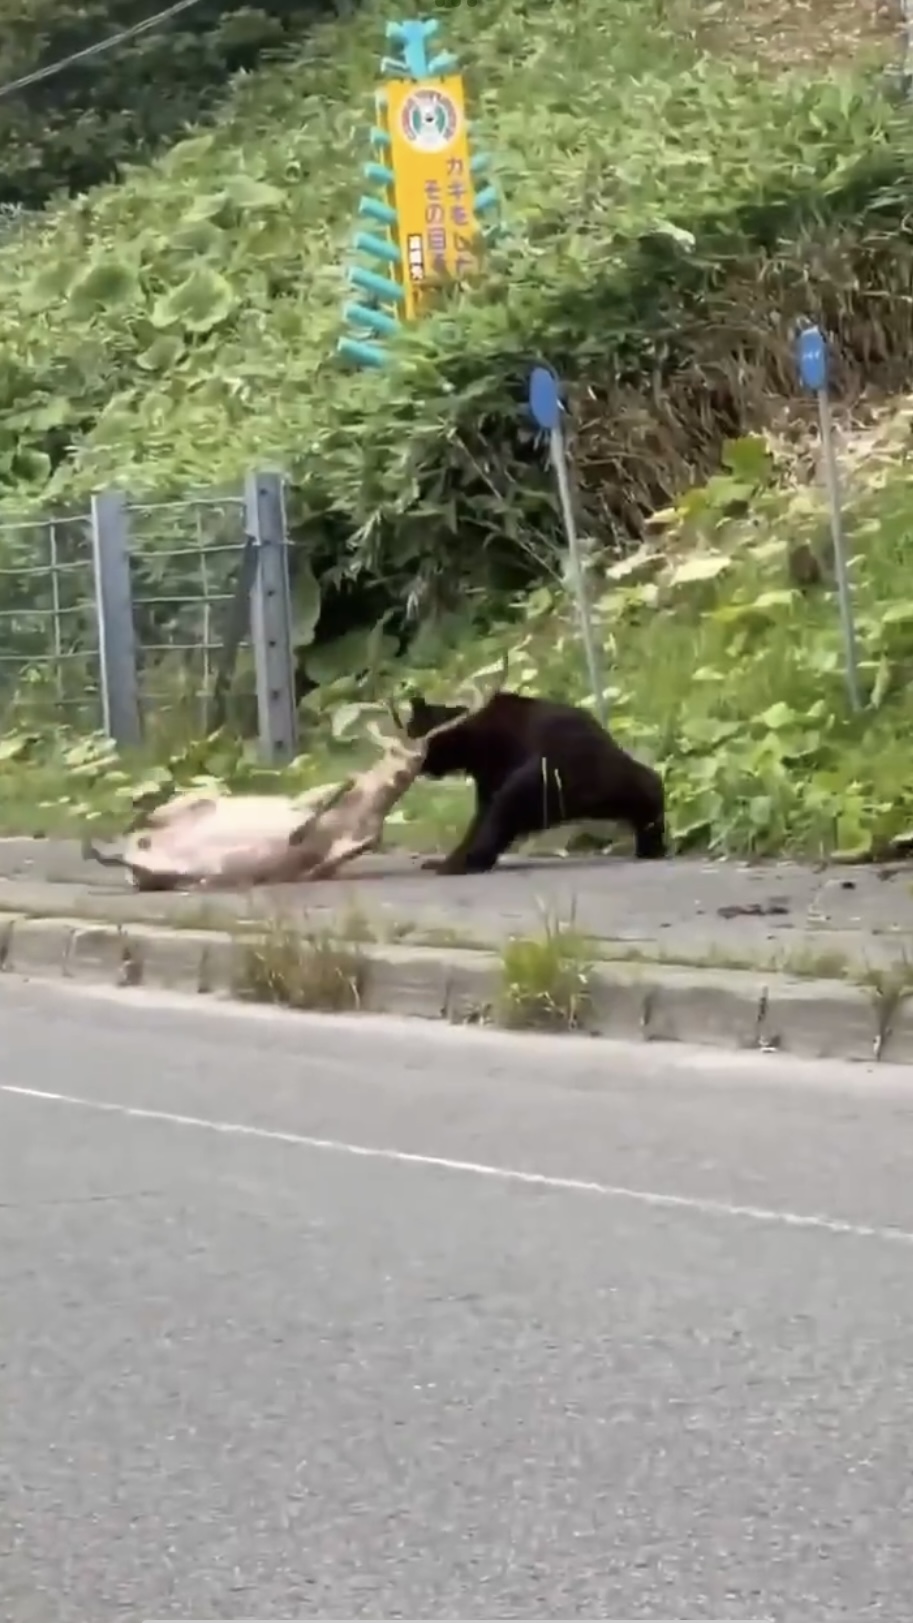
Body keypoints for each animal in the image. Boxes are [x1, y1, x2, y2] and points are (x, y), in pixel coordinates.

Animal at [398, 686, 667, 874]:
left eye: (410, 731)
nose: (409, 760)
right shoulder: (490, 776)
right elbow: (482, 816)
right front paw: (448, 859)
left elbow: (499, 810)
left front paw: (458, 862)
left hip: (578, 773)